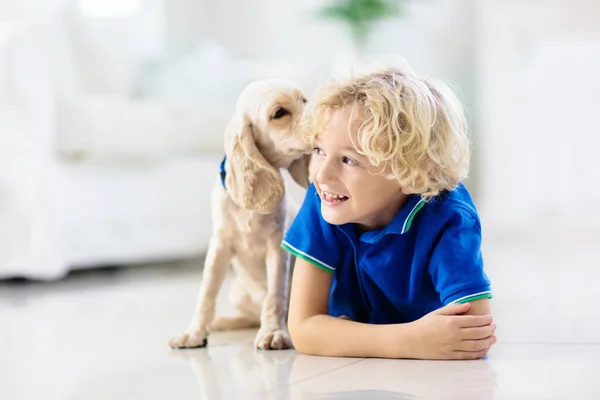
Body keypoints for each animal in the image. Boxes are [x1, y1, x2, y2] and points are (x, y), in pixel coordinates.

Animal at [168, 78, 310, 350]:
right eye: (279, 113)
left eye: (305, 100)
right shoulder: (220, 246)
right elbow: (206, 293)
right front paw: (194, 332)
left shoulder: (276, 249)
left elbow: (276, 295)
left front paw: (274, 332)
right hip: (237, 290)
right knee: (250, 316)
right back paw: (221, 322)